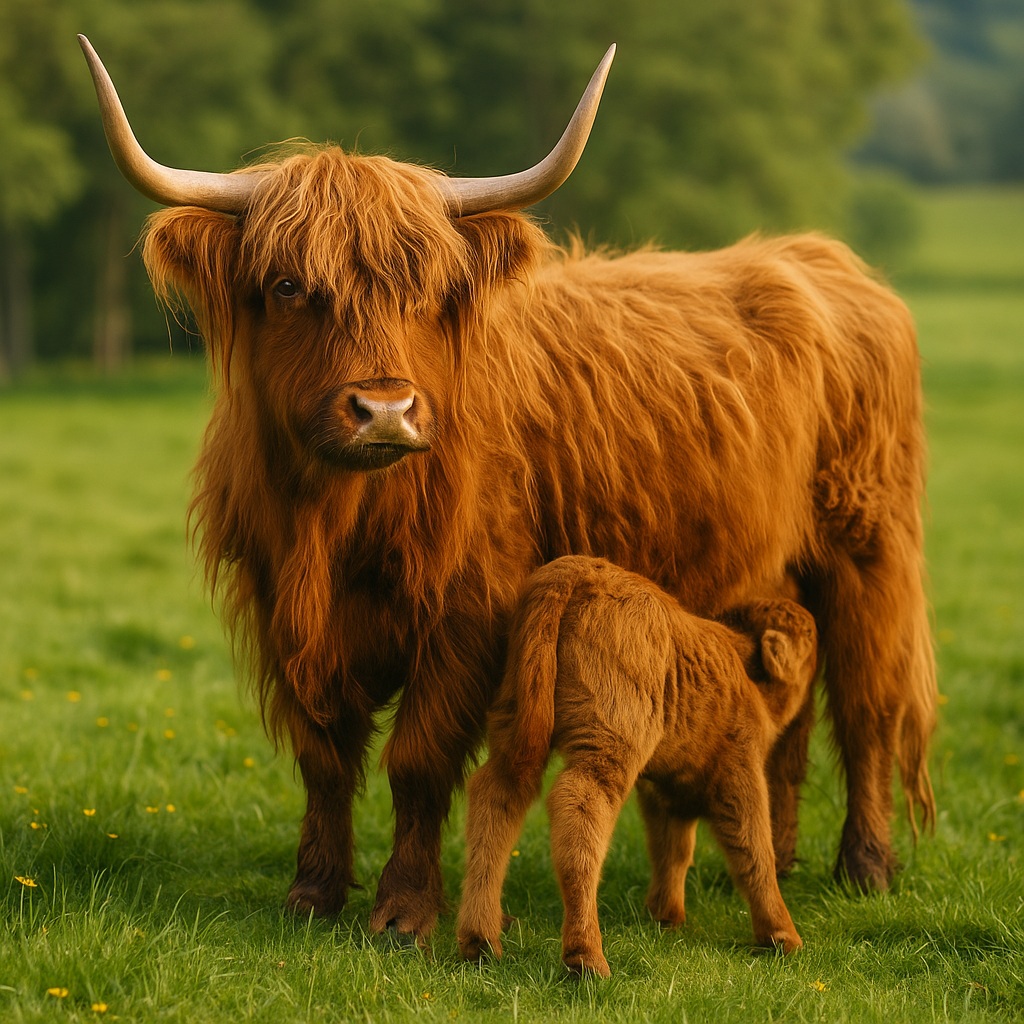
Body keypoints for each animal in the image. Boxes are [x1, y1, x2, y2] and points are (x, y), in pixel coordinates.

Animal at [457, 556, 820, 975]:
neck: (746, 672)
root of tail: (578, 570)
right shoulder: (740, 772)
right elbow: (754, 850)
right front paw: (783, 937)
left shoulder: (665, 790)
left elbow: (673, 849)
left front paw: (666, 917)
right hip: (608, 744)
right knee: (580, 807)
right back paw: (587, 959)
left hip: (512, 722)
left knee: (497, 797)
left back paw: (480, 943)